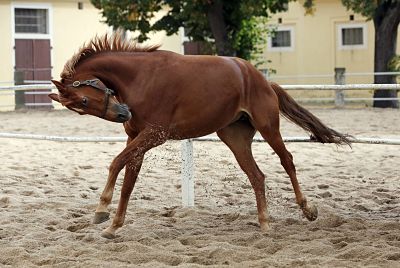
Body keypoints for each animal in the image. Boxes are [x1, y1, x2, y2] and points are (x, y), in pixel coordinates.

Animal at [49, 31, 350, 239]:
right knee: (257, 176)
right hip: (234, 137)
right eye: (79, 109)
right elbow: (128, 181)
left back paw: (308, 210)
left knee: (287, 161)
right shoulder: (136, 139)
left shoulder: (154, 135)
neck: (141, 77)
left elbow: (115, 164)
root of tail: (262, 79)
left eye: (84, 101)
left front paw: (101, 211)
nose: (123, 114)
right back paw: (264, 224)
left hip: (268, 128)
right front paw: (113, 226)